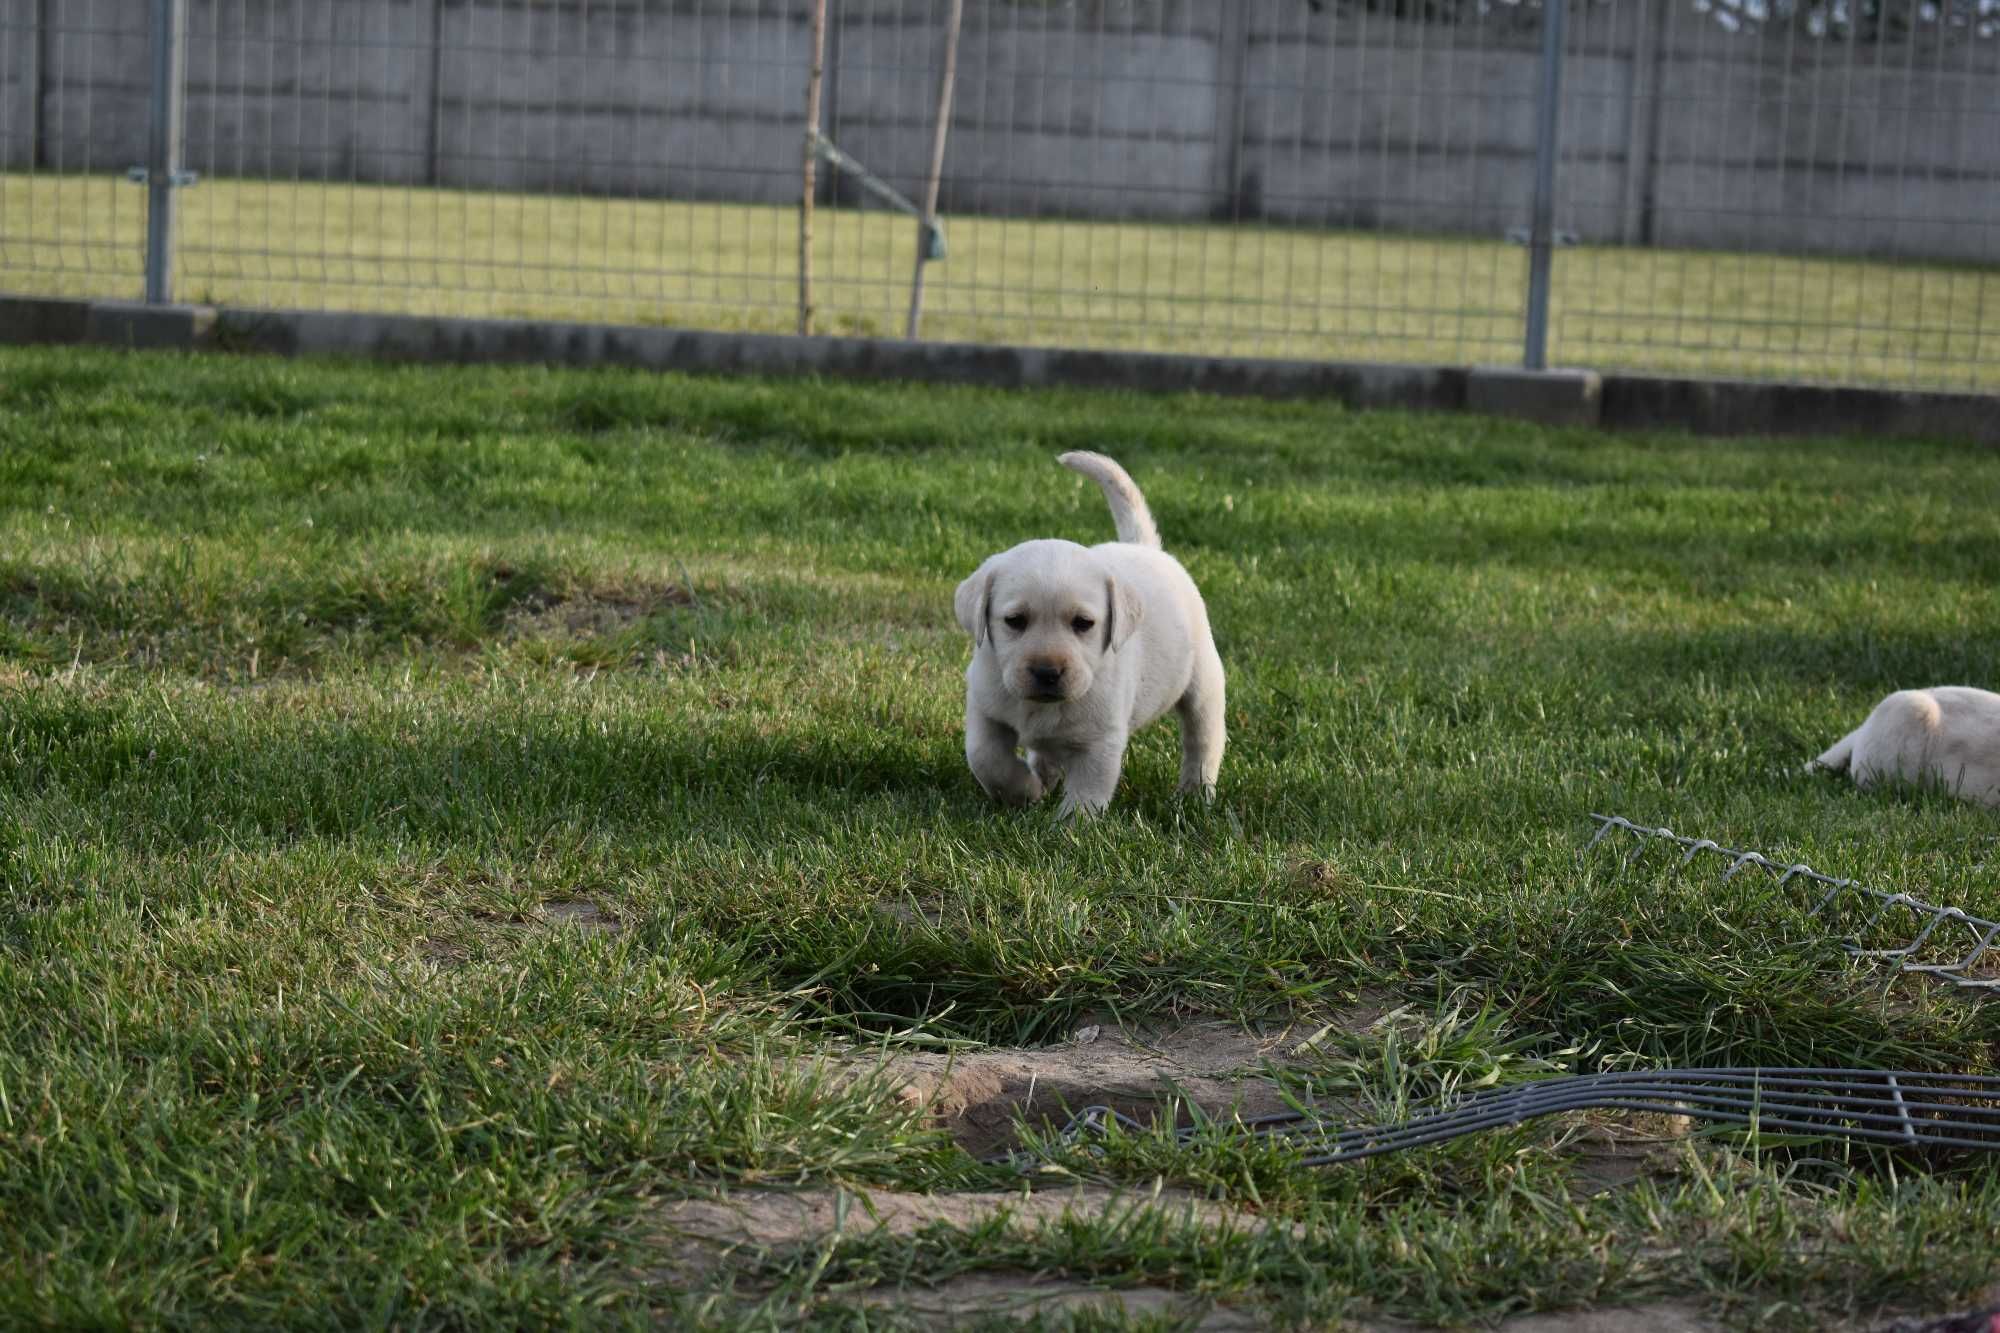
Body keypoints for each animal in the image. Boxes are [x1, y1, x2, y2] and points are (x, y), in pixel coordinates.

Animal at [948, 452, 1216, 816]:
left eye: (1083, 623)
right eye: (1015, 621)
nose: (1047, 672)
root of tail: (1146, 548)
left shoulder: (1100, 742)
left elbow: (1087, 792)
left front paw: (1067, 825)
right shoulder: (984, 707)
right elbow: (986, 757)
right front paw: (1024, 792)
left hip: (1204, 682)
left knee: (1202, 740)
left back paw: (1195, 793)